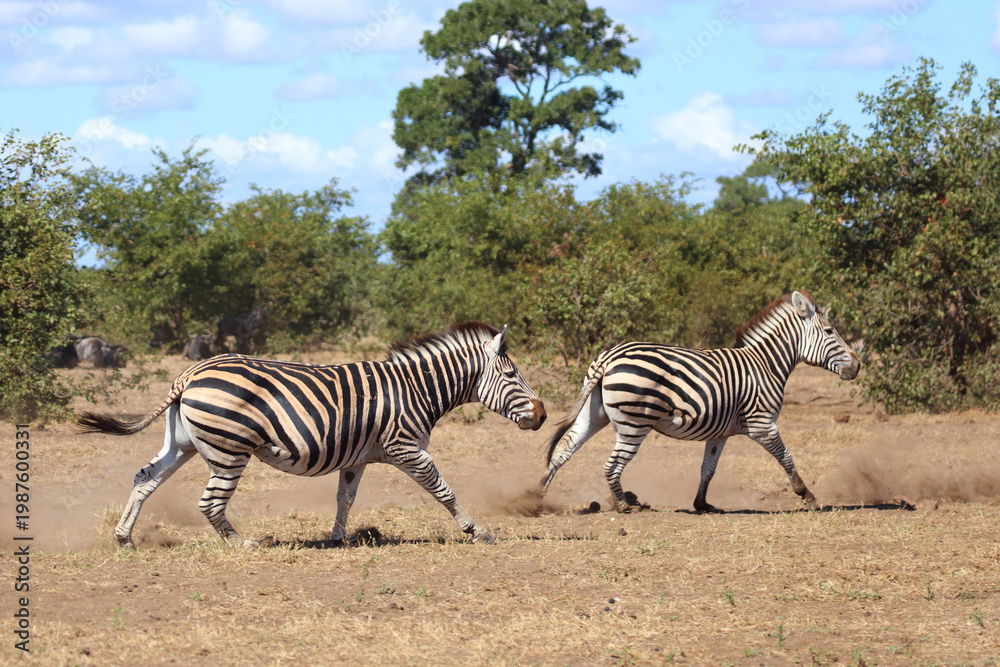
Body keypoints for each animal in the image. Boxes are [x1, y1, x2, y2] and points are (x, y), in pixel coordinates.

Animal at [77, 322, 546, 548]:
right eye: (511, 376)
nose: (542, 415)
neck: (416, 389)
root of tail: (190, 373)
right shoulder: (406, 448)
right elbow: (444, 491)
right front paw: (477, 531)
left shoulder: (358, 458)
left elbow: (345, 498)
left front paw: (339, 538)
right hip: (228, 451)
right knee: (209, 503)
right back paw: (243, 543)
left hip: (183, 443)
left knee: (145, 478)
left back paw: (124, 538)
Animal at [540, 291, 860, 513]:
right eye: (830, 332)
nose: (857, 366)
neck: (766, 364)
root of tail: (609, 357)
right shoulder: (762, 424)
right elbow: (786, 457)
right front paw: (807, 495)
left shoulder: (719, 432)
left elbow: (708, 468)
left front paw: (702, 503)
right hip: (634, 423)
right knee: (612, 464)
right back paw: (623, 505)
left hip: (595, 414)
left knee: (564, 449)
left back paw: (536, 494)